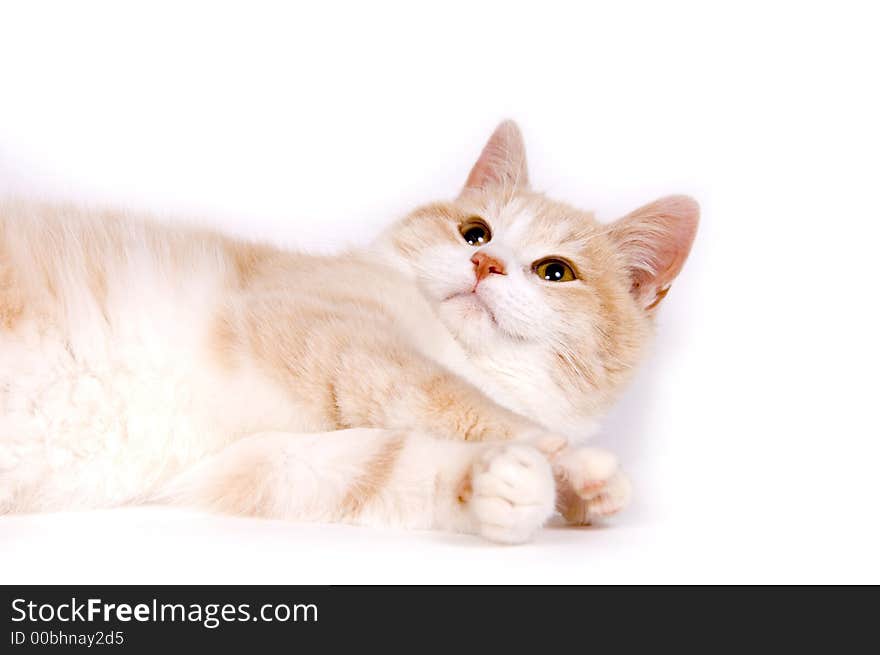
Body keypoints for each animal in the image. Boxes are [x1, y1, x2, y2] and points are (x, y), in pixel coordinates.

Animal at [1, 121, 700, 544]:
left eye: (557, 271)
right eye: (474, 232)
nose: (485, 264)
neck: (470, 357)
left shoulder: (253, 461)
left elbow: (384, 465)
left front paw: (505, 488)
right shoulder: (330, 331)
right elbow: (457, 403)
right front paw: (574, 468)